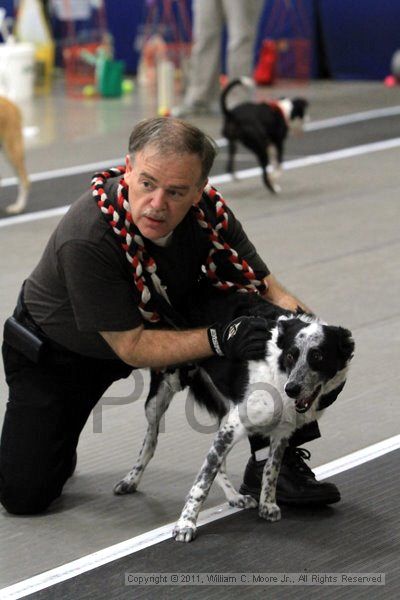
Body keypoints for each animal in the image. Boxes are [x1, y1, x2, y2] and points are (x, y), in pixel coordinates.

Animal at [114, 292, 354, 540]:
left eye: (318, 356)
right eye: (290, 355)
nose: (293, 389)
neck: (278, 373)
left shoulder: (280, 432)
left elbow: (270, 470)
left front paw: (267, 504)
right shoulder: (233, 426)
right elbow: (202, 482)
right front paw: (185, 524)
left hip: (223, 413)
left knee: (218, 464)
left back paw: (234, 497)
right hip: (161, 397)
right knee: (151, 440)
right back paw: (131, 480)